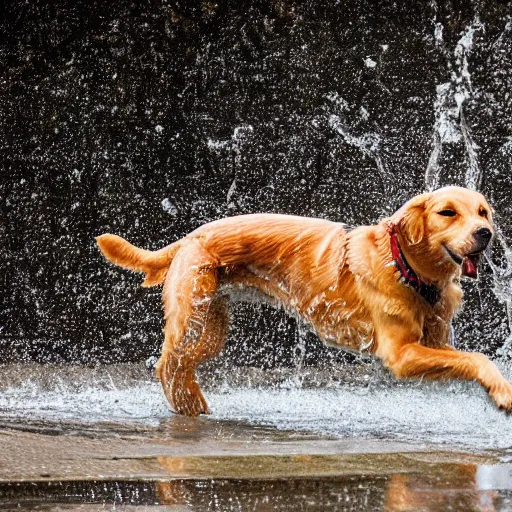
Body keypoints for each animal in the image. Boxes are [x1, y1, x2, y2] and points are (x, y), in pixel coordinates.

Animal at [96, 188, 512, 416]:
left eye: (482, 212)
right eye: (447, 213)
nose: (486, 233)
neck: (405, 267)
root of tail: (189, 236)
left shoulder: (435, 343)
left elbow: (469, 359)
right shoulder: (401, 354)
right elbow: (479, 358)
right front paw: (504, 393)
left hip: (211, 328)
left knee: (180, 365)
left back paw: (193, 404)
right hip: (192, 316)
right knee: (167, 363)